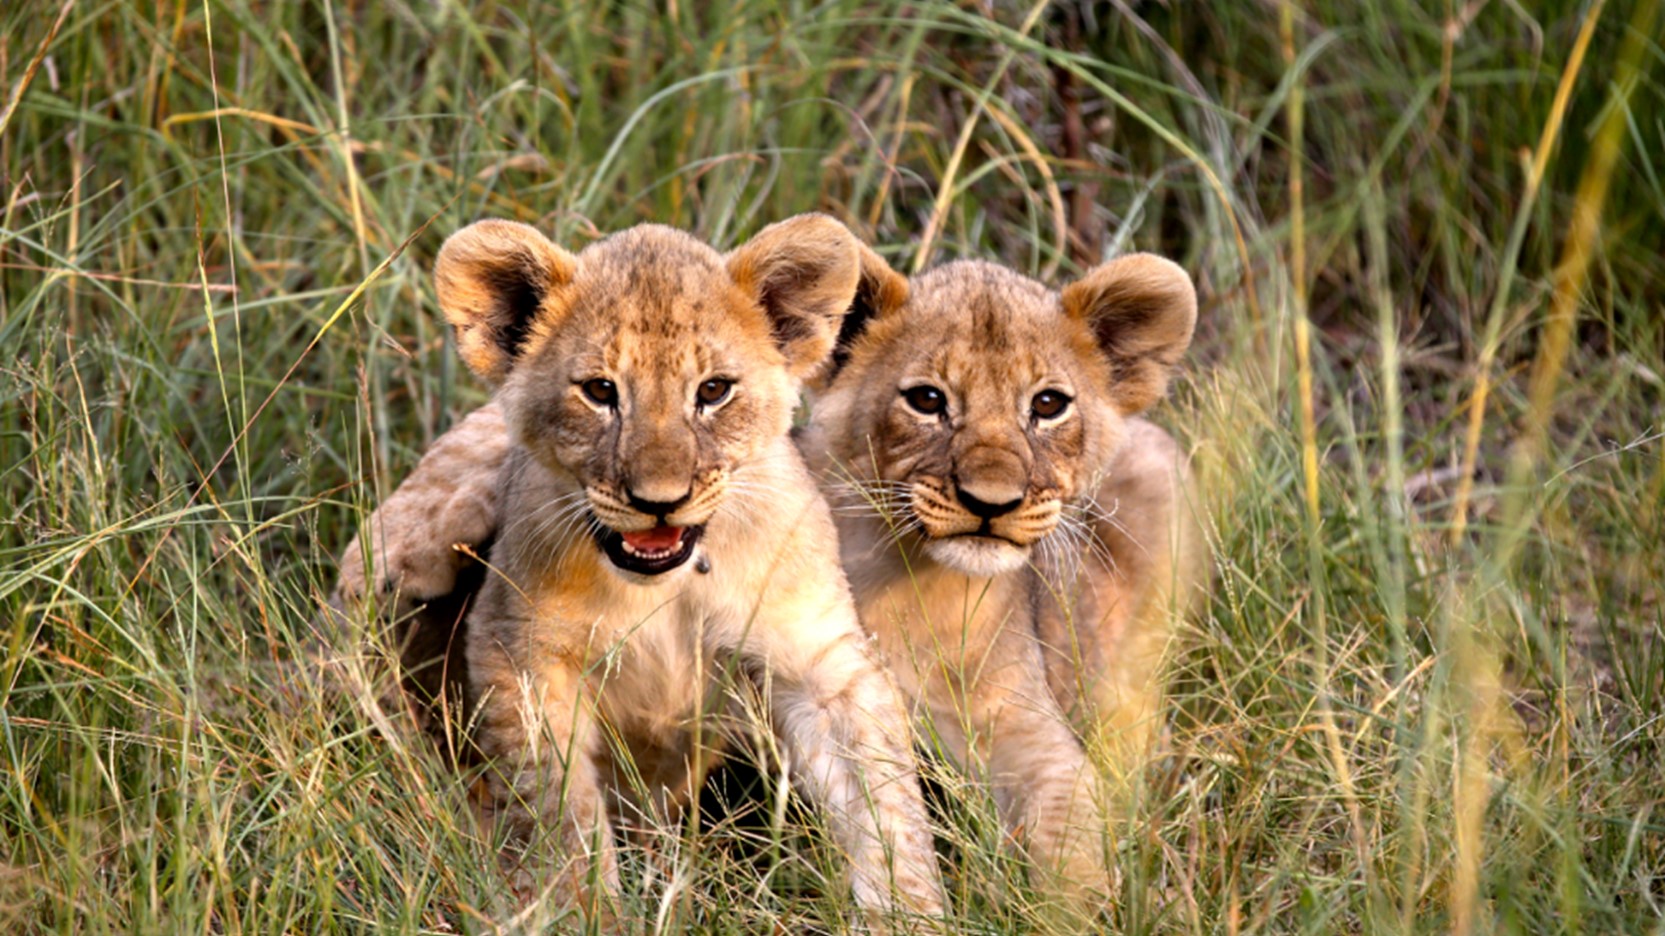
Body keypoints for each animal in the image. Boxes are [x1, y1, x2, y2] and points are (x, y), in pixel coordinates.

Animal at [331, 215, 944, 927]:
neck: (665, 585)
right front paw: (583, 912)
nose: (660, 500)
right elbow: (561, 814)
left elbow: (884, 800)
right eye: (600, 391)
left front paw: (910, 912)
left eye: (713, 391)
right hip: (410, 554)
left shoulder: (821, 659)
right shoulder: (516, 657)